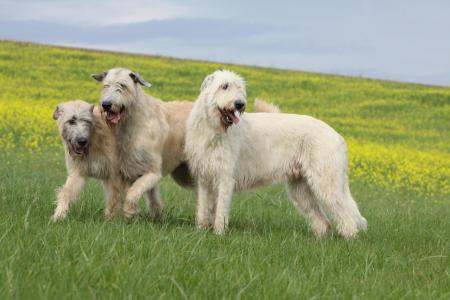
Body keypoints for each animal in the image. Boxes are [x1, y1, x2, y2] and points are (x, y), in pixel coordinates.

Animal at [185, 70, 368, 239]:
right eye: (224, 86)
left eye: (240, 87)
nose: (240, 104)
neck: (213, 128)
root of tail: (339, 137)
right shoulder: (204, 177)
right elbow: (202, 208)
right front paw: (200, 232)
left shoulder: (225, 177)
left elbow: (221, 209)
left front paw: (218, 234)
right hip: (300, 187)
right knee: (323, 222)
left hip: (326, 180)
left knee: (346, 216)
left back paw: (349, 240)